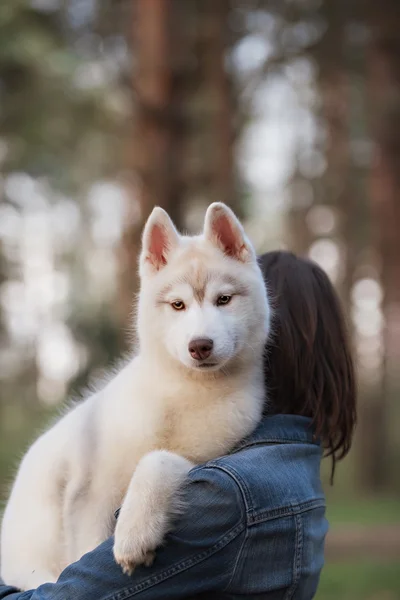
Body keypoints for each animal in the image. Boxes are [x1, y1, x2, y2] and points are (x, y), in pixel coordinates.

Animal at [1, 204, 270, 588]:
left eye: (223, 300)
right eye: (177, 305)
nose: (200, 345)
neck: (181, 393)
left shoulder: (204, 461)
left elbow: (156, 460)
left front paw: (135, 533)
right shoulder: (90, 486)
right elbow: (84, 549)